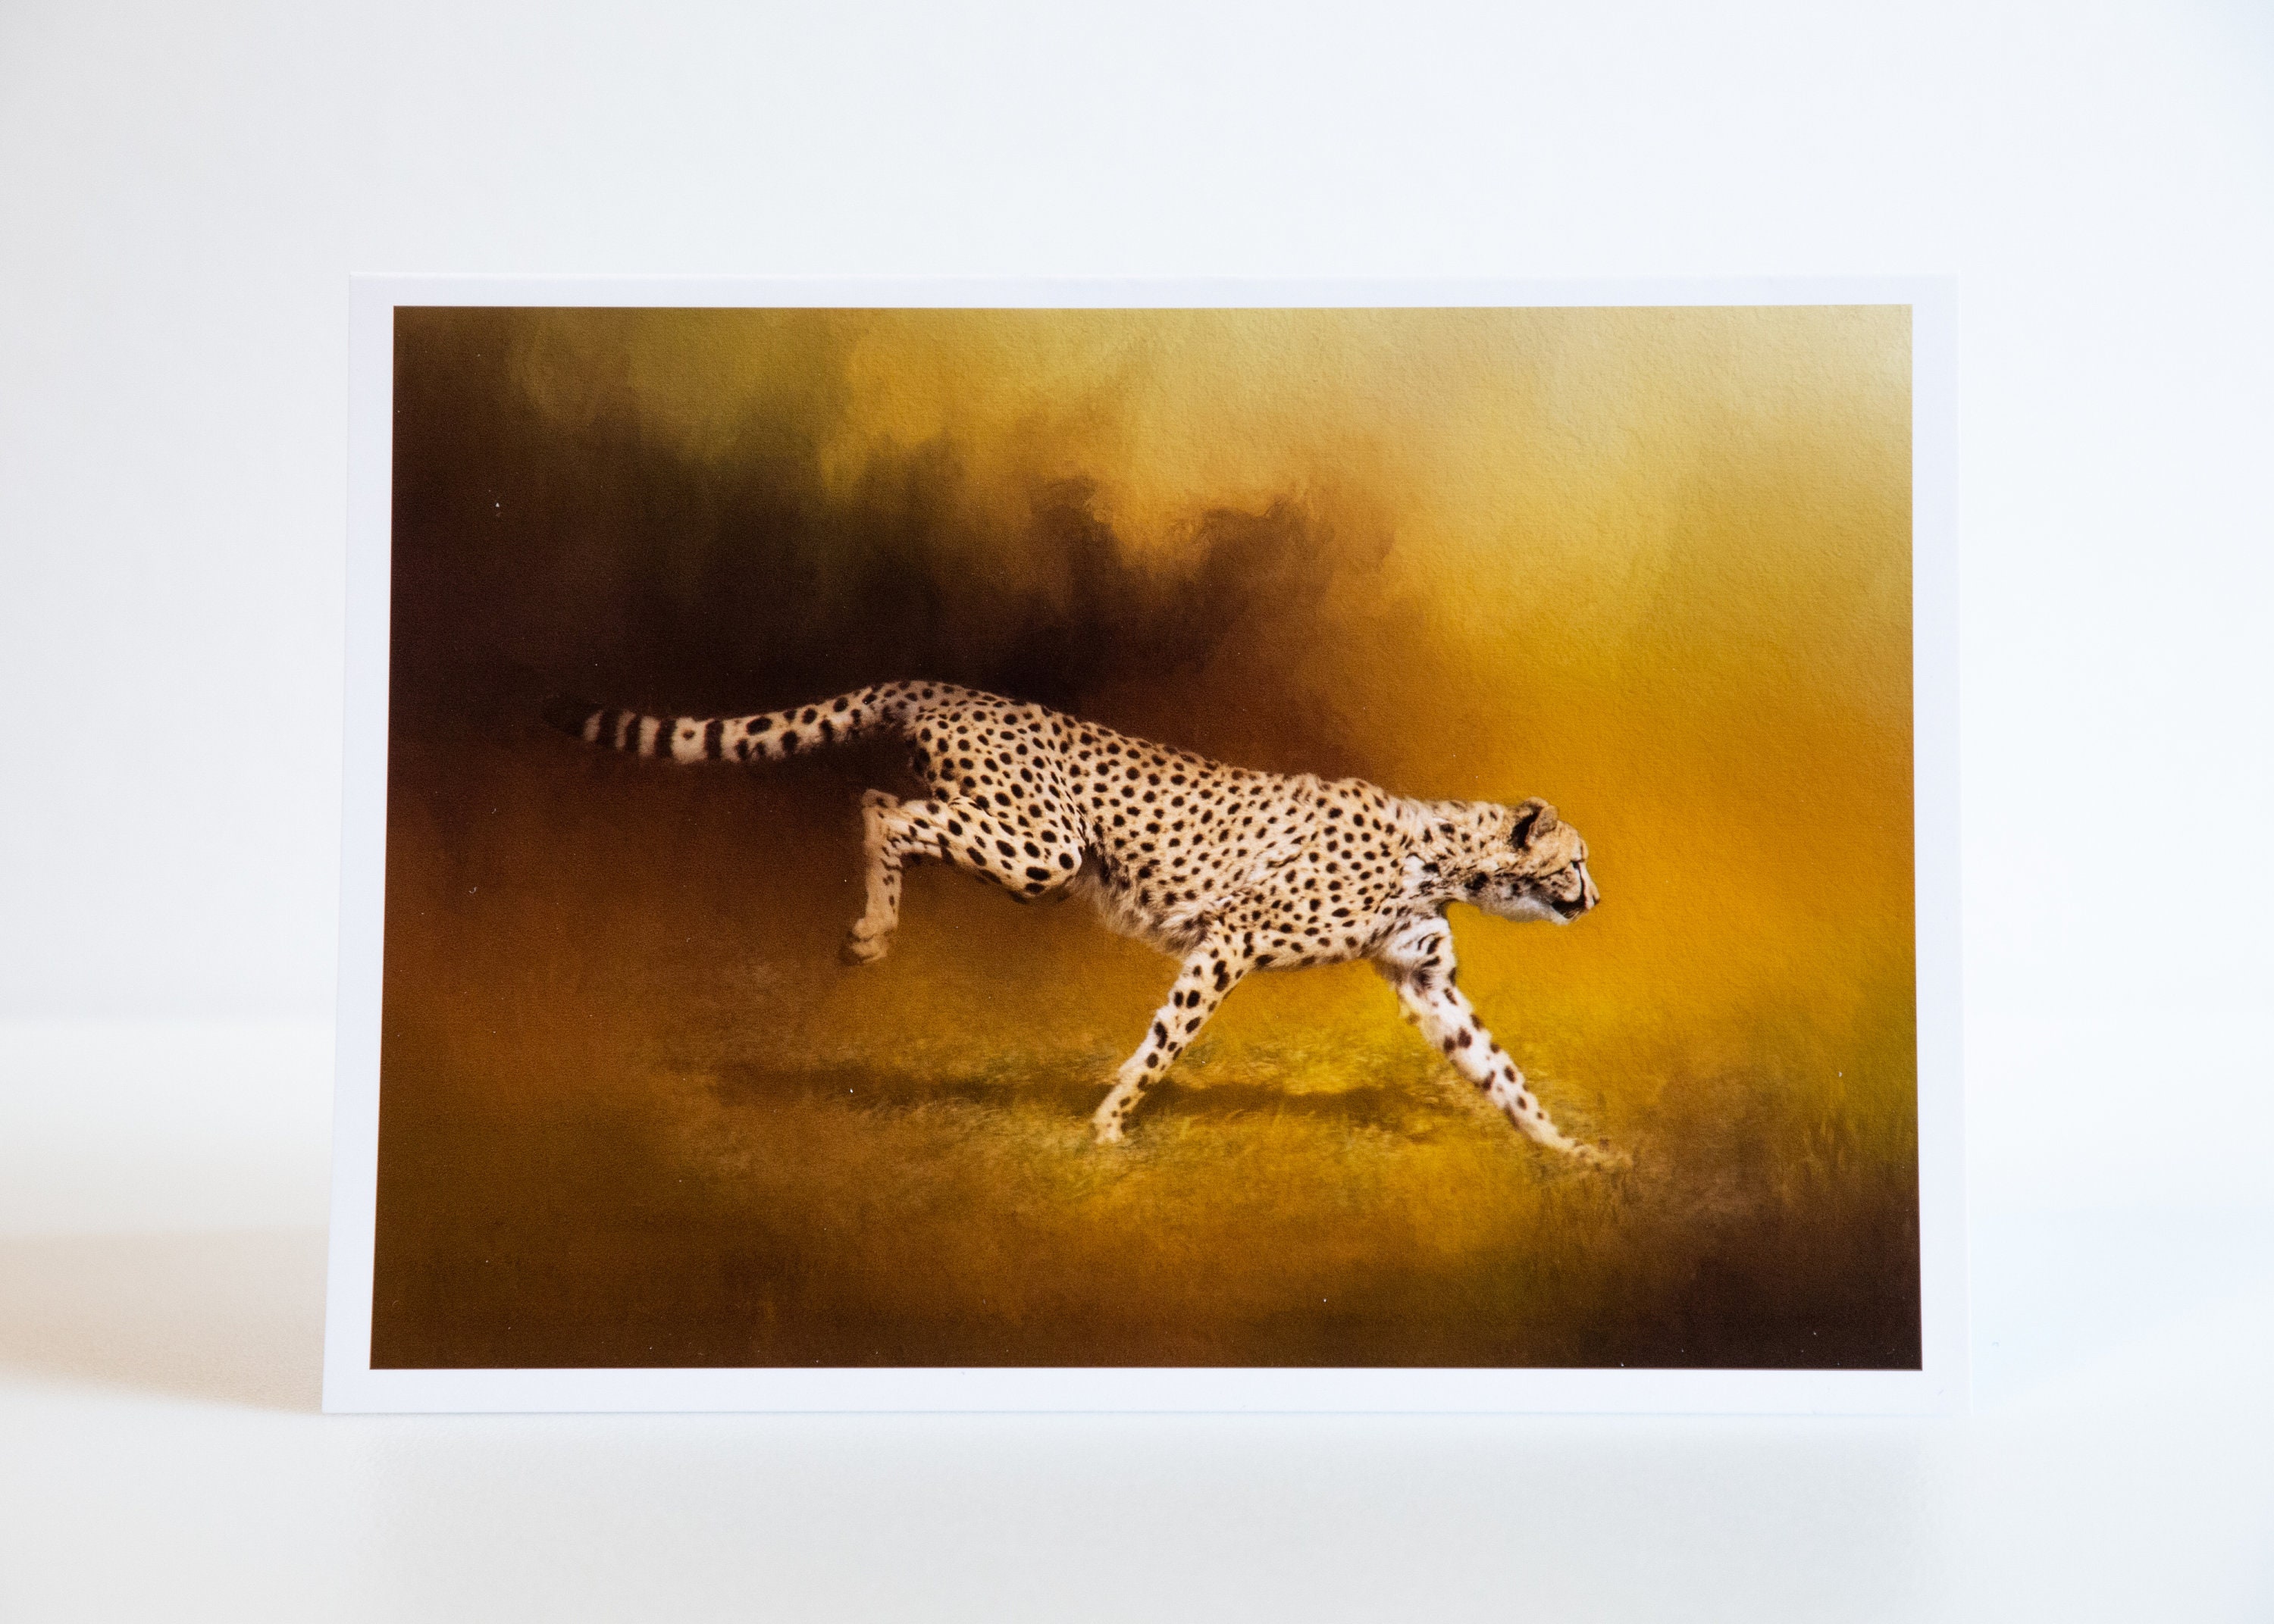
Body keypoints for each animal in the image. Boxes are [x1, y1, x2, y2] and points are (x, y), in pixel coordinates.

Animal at [545, 680, 1612, 1161]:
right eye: (1577, 861)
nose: (1598, 898)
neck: (1444, 852)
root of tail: (945, 686)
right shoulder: (1229, 940)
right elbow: (1165, 1040)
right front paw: (1107, 1124)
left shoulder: (1426, 980)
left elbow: (1502, 1072)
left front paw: (1572, 1154)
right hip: (1044, 848)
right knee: (882, 807)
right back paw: (871, 931)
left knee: (878, 799)